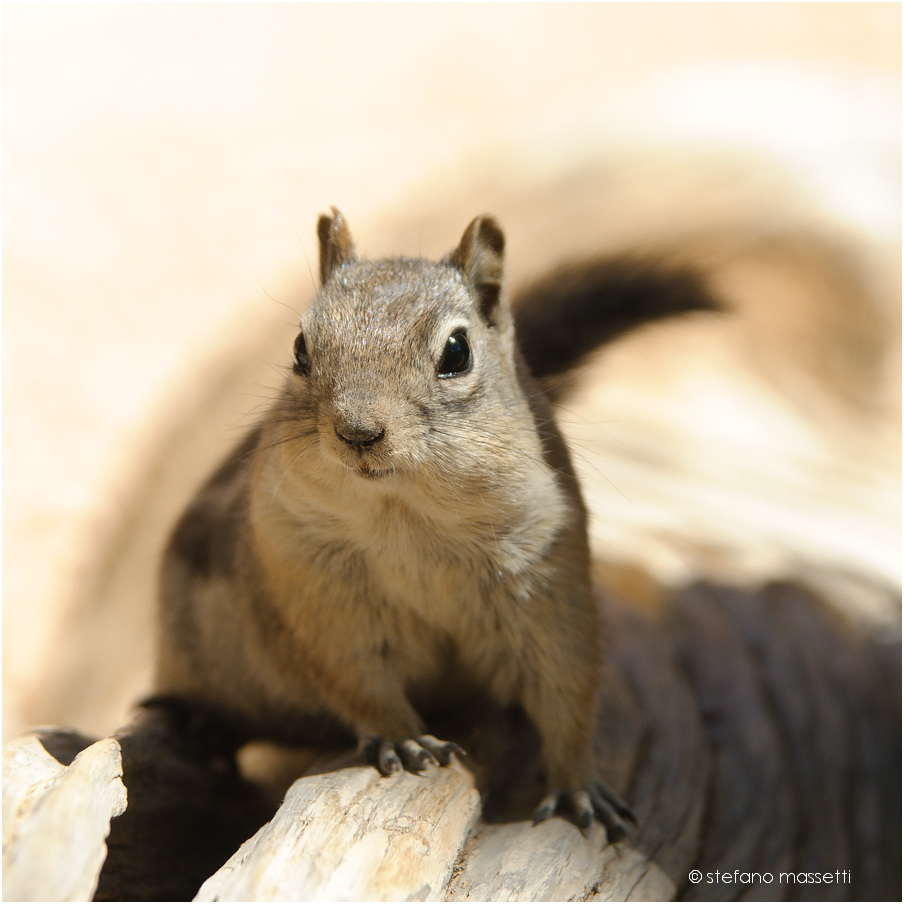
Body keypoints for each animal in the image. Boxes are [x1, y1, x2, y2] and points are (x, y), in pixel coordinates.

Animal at [152, 209, 718, 839]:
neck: (407, 513)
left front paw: (577, 784)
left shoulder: (547, 573)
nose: (357, 432)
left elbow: (564, 686)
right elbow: (357, 675)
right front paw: (402, 737)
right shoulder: (312, 582)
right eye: (300, 347)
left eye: (456, 351)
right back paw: (197, 719)